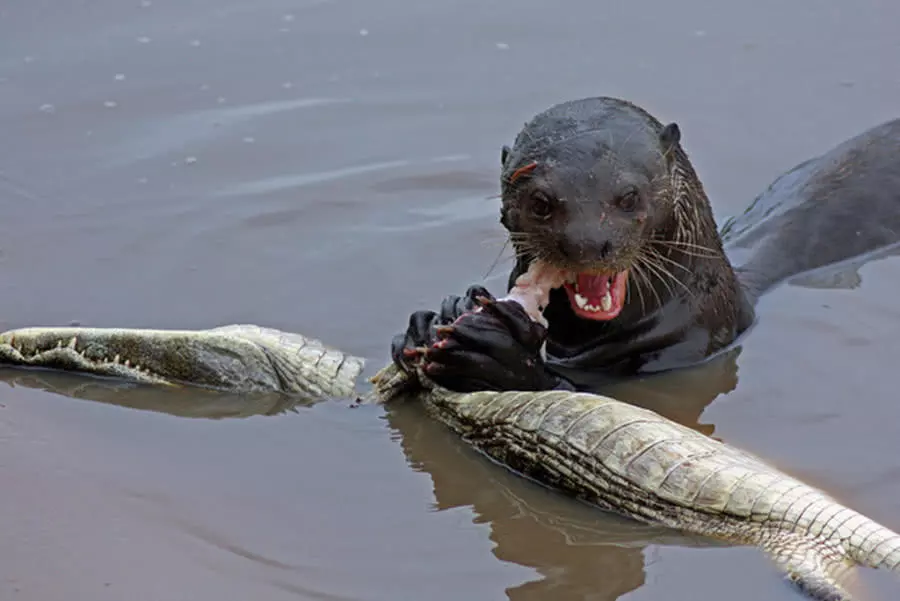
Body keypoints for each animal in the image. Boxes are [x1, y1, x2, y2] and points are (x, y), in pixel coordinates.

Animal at [392, 96, 900, 392]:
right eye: (540, 201)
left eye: (628, 196)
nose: (587, 243)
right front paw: (433, 319)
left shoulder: (687, 349)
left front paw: (499, 356)